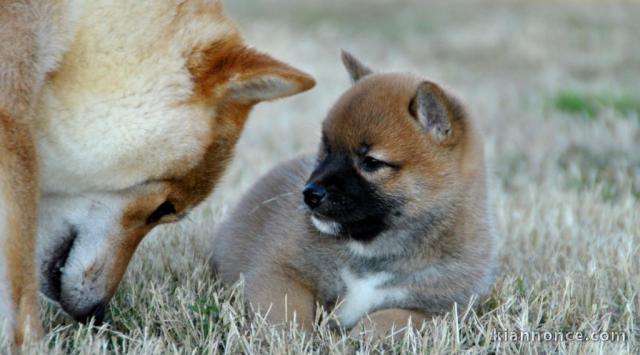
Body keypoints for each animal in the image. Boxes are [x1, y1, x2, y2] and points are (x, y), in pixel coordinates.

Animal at [212, 52, 498, 336]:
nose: (310, 193)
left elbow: (381, 322)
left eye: (371, 162)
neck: (373, 253)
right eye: (327, 149)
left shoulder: (437, 312)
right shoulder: (278, 272)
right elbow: (289, 315)